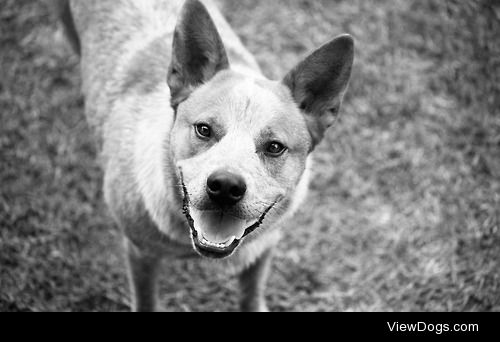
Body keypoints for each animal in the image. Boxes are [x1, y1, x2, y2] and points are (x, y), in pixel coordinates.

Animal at [52, 0, 354, 312]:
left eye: (274, 147)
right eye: (204, 129)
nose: (226, 187)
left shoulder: (263, 247)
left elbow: (251, 293)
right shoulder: (140, 253)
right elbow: (146, 299)